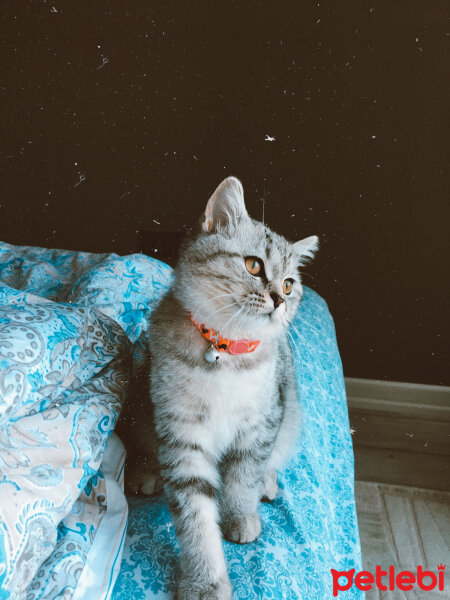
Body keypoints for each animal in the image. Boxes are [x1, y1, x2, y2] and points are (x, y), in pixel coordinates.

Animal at [125, 178, 318, 600]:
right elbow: (196, 517)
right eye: (253, 265)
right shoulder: (182, 435)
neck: (228, 353)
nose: (279, 299)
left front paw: (241, 515)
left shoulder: (262, 424)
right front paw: (204, 580)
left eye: (290, 284)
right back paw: (143, 471)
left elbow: (243, 477)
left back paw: (268, 484)